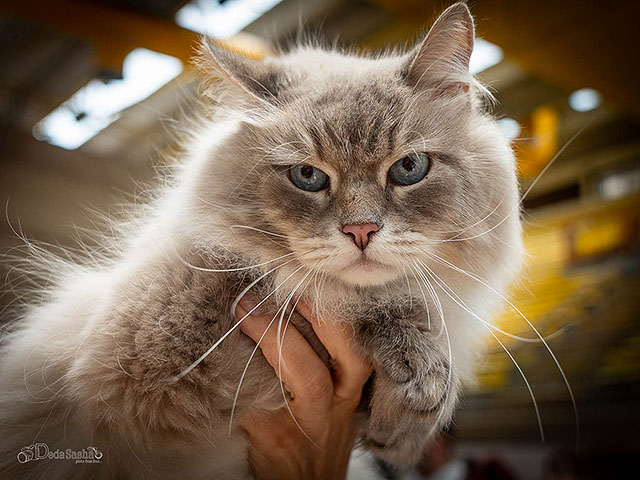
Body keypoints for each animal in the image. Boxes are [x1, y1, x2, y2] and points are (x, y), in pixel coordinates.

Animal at [0, 3, 520, 480]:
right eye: (308, 176)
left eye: (409, 168)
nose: (361, 232)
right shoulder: (140, 365)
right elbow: (327, 291)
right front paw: (417, 380)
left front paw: (406, 413)